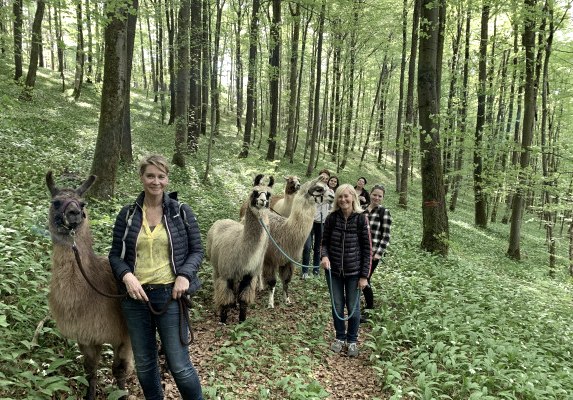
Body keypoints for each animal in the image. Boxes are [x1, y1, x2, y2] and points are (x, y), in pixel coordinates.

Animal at [46, 171, 132, 400]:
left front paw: (121, 394)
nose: (74, 213)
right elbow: (90, 370)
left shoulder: (123, 335)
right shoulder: (87, 335)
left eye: (83, 203)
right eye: (56, 202)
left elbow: (120, 370)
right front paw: (90, 395)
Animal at [207, 174, 274, 323]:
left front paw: (242, 320)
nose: (262, 201)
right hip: (217, 265)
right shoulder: (226, 273)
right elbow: (225, 299)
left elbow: (244, 300)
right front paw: (223, 320)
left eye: (269, 194)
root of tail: (222, 220)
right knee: (217, 280)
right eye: (255, 192)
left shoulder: (249, 274)